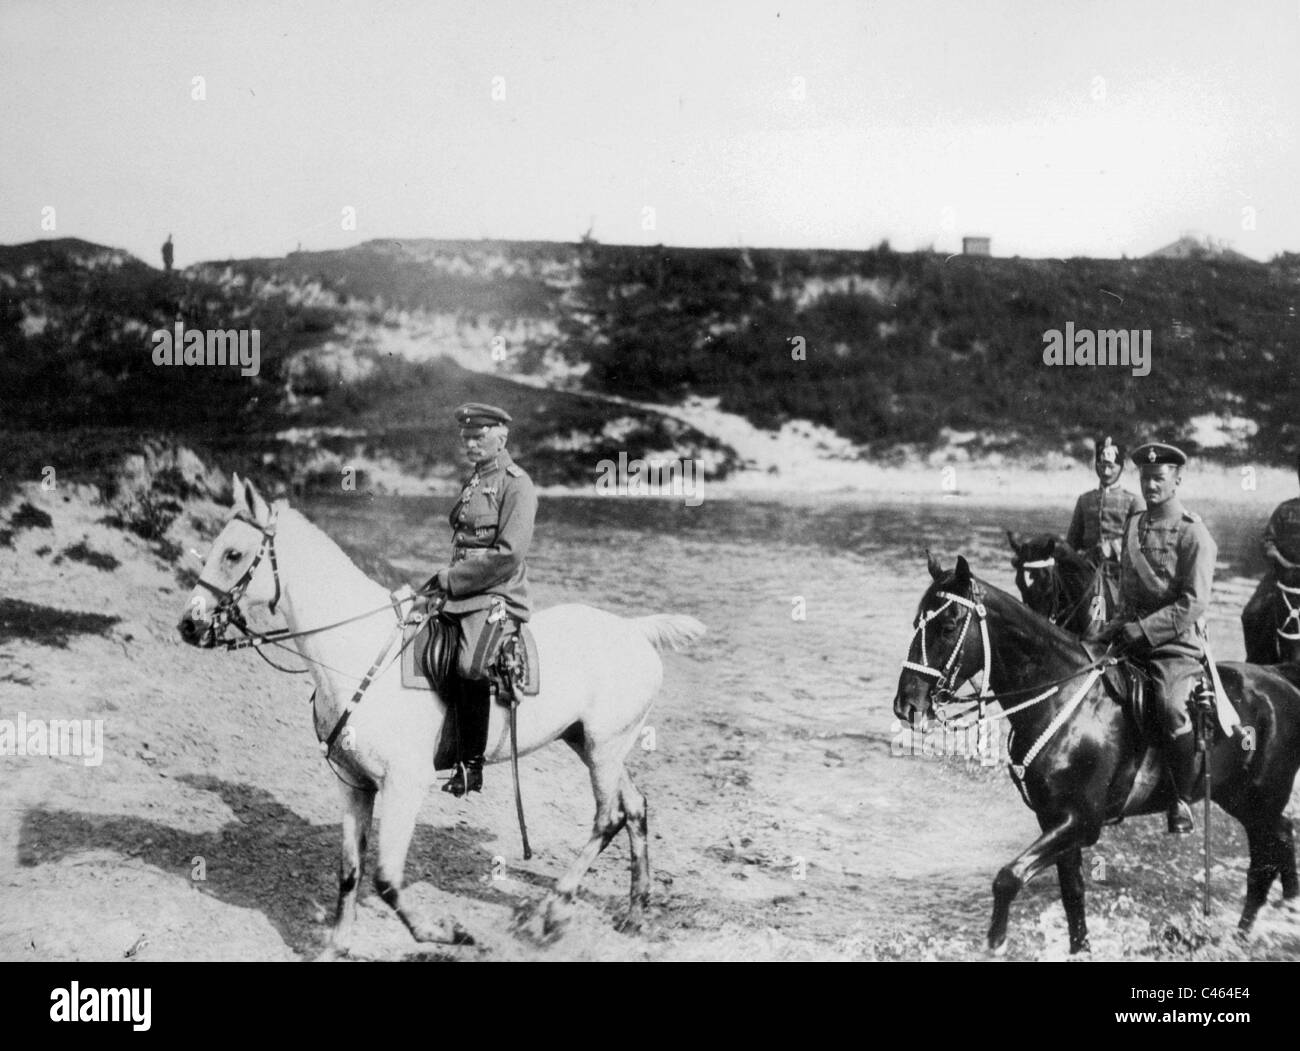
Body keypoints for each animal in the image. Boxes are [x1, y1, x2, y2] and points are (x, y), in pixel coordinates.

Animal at [178, 476, 707, 952]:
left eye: (233, 554)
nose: (188, 624)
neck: (357, 649)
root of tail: (635, 631)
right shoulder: (353, 784)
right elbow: (350, 870)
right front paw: (339, 945)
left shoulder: (404, 785)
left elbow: (387, 877)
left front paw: (445, 933)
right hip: (592, 744)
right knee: (634, 808)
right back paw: (635, 912)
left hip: (602, 748)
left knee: (608, 817)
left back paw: (551, 911)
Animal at [899, 554, 1300, 957]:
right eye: (917, 622)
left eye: (948, 626)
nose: (907, 705)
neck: (1061, 697)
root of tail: (1282, 680)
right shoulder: (1052, 818)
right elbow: (1072, 893)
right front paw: (1080, 949)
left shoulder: (1082, 821)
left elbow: (1009, 877)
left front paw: (996, 943)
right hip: (1240, 799)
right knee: (1283, 838)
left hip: (1259, 803)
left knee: (1264, 863)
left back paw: (1242, 936)